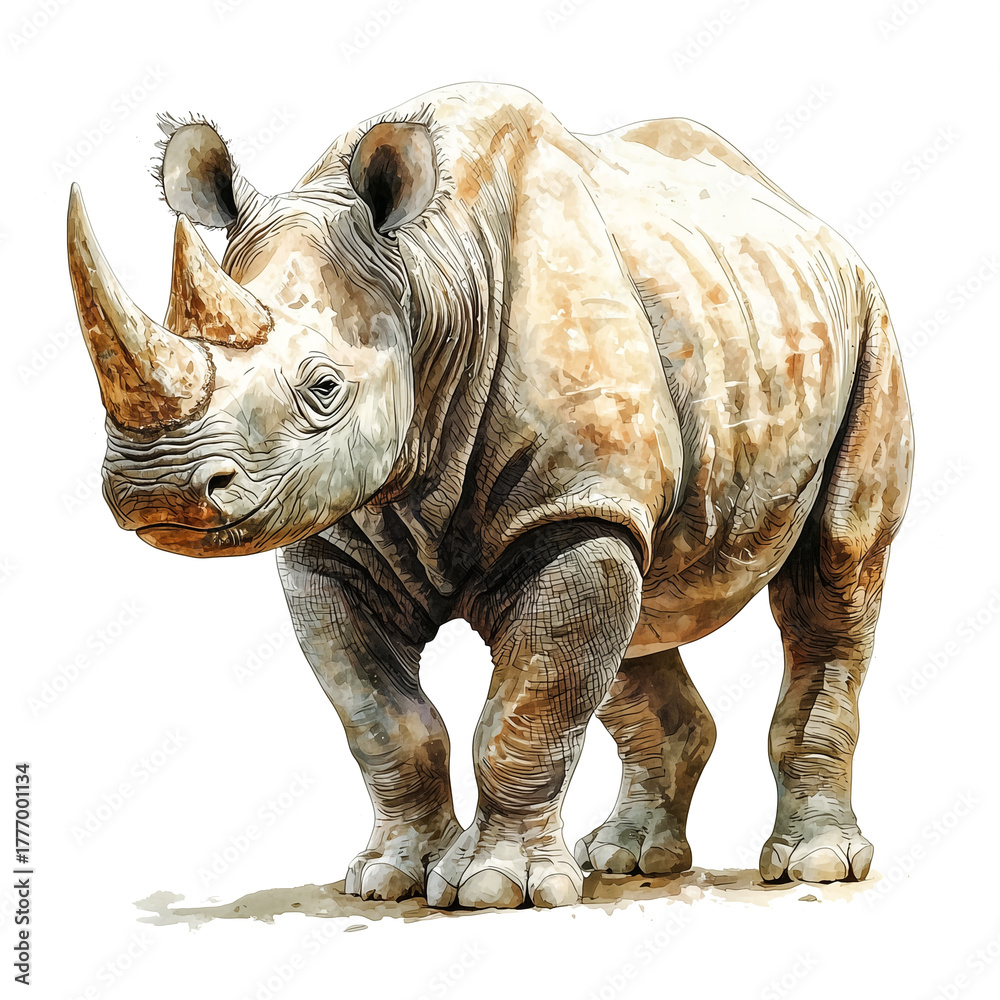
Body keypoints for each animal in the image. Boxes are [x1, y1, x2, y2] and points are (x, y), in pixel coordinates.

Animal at [67, 83, 913, 909]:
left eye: (324, 388)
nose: (155, 487)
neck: (424, 275)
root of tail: (811, 222)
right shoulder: (337, 535)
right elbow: (385, 720)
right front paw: (388, 878)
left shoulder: (571, 505)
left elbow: (525, 709)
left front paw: (495, 888)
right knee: (640, 610)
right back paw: (628, 860)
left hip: (869, 324)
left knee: (836, 569)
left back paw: (815, 868)